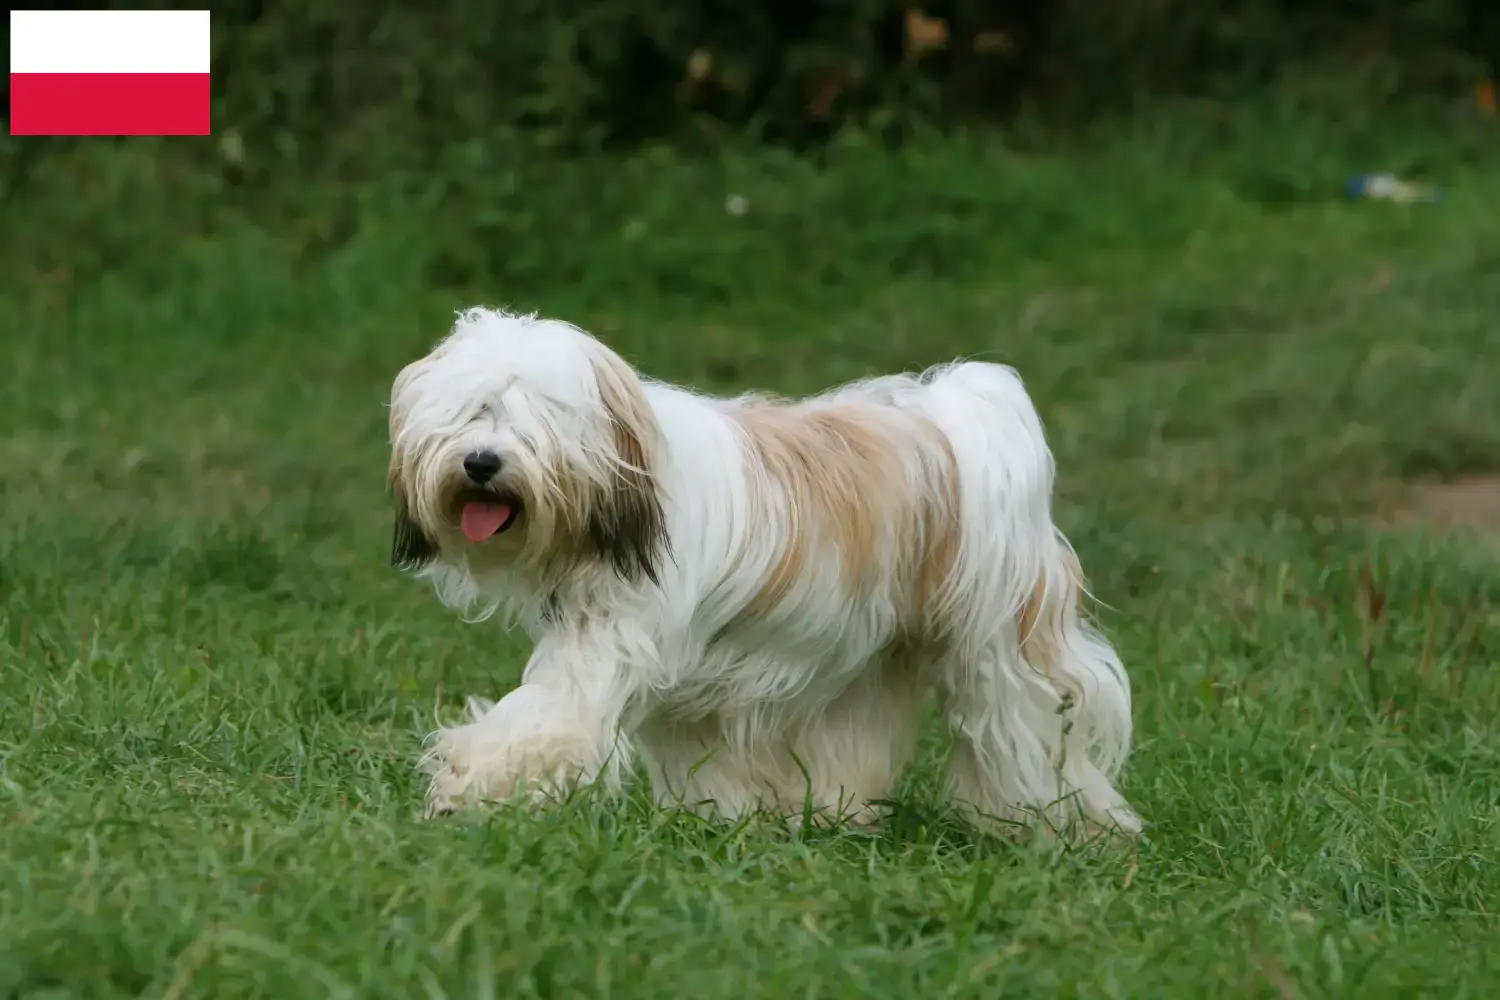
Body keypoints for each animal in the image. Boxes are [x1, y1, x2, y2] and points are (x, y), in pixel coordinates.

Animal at [387, 307, 1134, 839]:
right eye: (470, 412)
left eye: (533, 421)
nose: (481, 462)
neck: (631, 491)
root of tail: (952, 420)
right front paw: (725, 818)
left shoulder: (606, 647)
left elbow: (545, 720)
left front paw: (462, 789)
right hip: (861, 650)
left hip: (999, 646)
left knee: (1030, 726)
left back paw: (1065, 825)